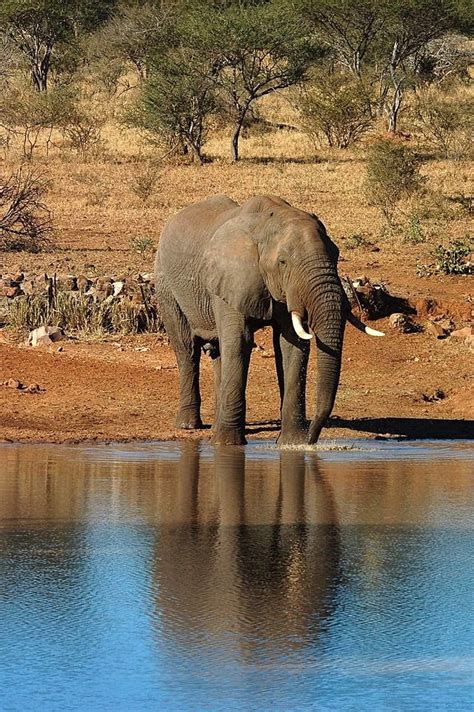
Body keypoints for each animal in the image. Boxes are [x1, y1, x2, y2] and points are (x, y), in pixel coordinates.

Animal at [155, 195, 382, 444]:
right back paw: (188, 425)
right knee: (187, 349)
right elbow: (239, 342)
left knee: (218, 353)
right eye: (283, 262)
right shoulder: (231, 278)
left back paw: (215, 426)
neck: (267, 223)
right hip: (165, 284)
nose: (312, 438)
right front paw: (228, 445)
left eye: (336, 254)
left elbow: (292, 346)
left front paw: (292, 443)